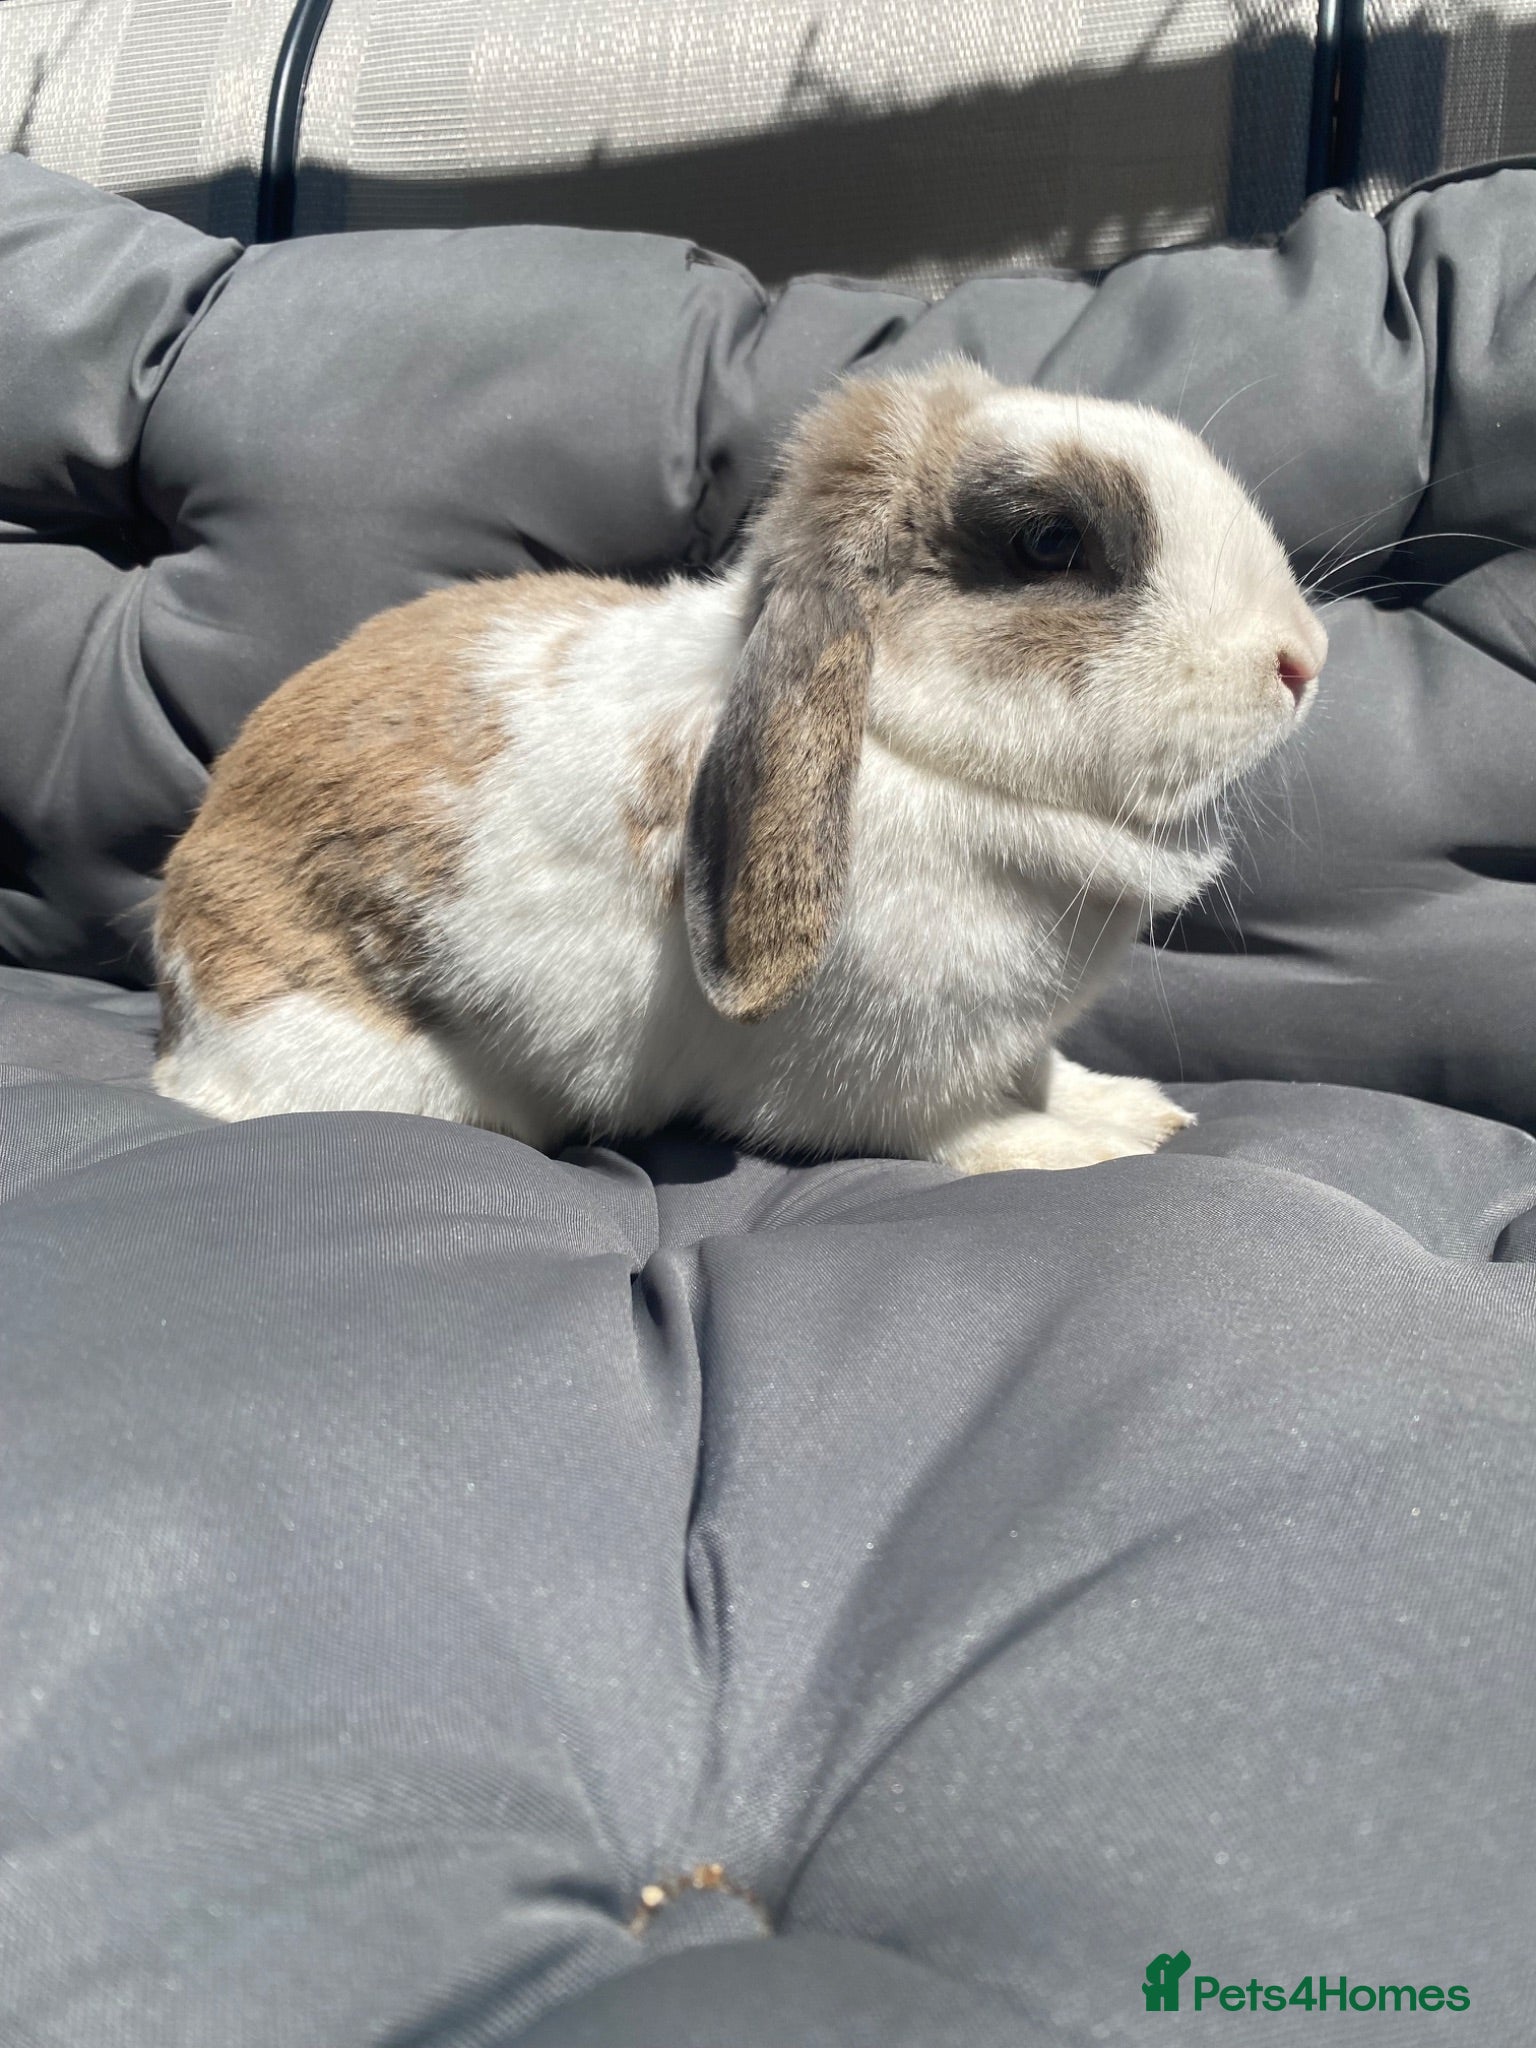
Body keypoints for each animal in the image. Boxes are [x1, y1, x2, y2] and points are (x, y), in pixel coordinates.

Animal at [153, 359, 1325, 1173]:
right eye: (1050, 542)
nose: (1304, 659)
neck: (909, 750)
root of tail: (175, 1006)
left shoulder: (1010, 1039)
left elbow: (1047, 1070)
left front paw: (1134, 1108)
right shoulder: (893, 1079)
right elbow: (962, 1129)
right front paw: (1078, 1149)